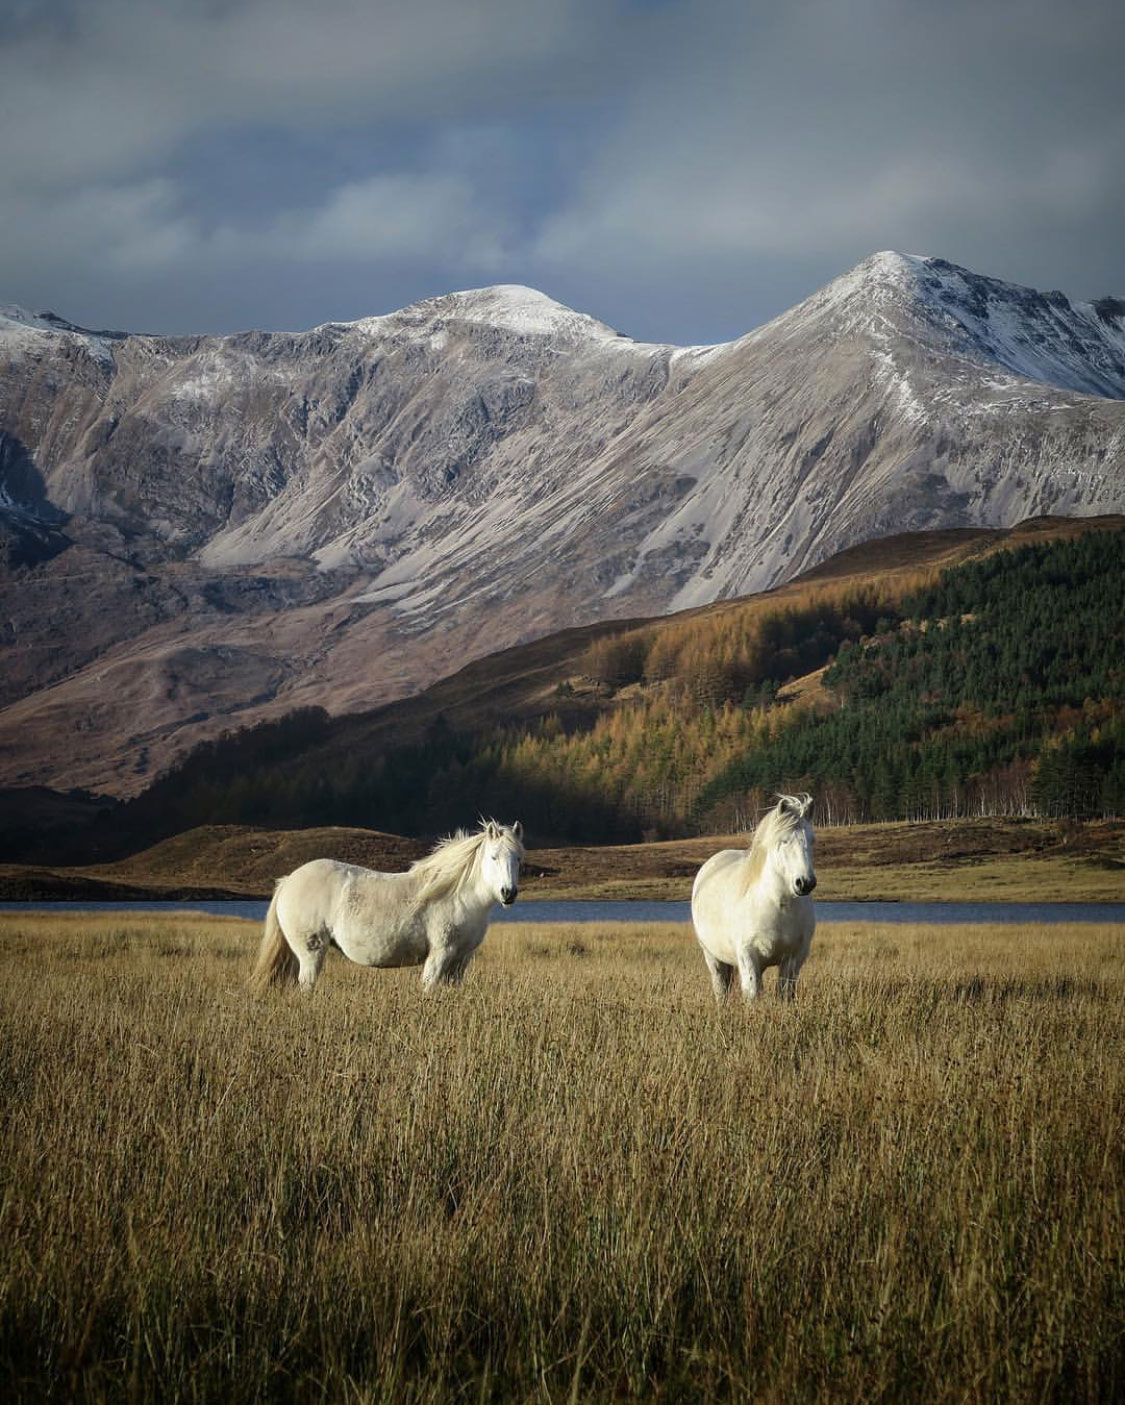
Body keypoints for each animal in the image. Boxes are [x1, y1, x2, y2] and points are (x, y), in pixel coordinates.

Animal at [250, 821, 523, 996]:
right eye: (494, 857)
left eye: (518, 858)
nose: (508, 893)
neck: (458, 896)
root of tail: (288, 881)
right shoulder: (440, 953)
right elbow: (428, 988)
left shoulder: (460, 960)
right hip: (311, 951)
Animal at [686, 793, 815, 1001]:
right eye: (784, 841)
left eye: (812, 840)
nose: (805, 883)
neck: (778, 907)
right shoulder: (748, 956)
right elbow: (753, 994)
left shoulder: (794, 958)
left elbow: (784, 993)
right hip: (713, 958)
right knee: (721, 989)